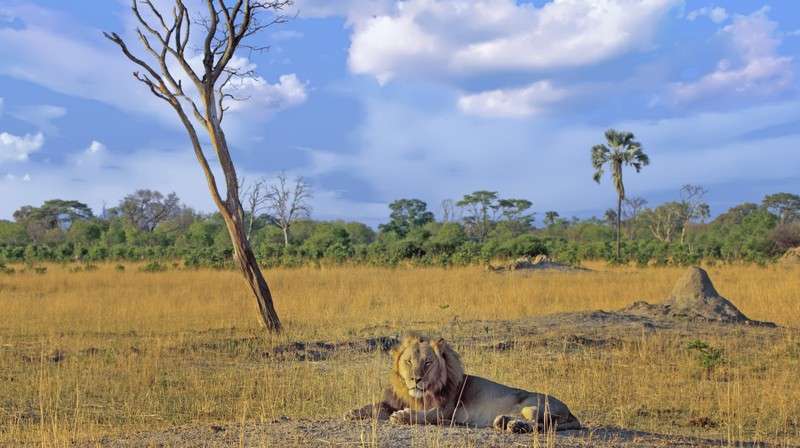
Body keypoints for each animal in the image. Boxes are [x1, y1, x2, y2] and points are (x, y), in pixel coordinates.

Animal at [345, 334, 581, 433]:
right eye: (409, 361)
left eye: (428, 362)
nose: (416, 379)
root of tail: (571, 412)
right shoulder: (397, 401)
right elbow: (377, 405)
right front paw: (354, 412)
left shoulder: (446, 412)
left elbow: (423, 416)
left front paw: (402, 416)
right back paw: (506, 422)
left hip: (532, 405)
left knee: (542, 425)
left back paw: (515, 426)